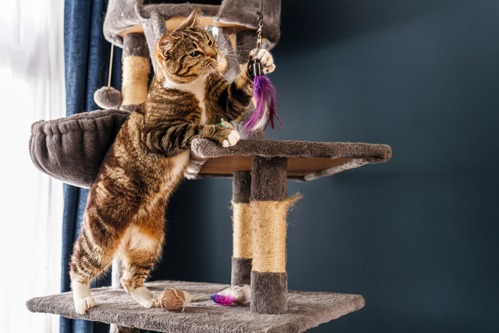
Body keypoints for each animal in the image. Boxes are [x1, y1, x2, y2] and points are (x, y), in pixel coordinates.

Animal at [68, 9, 276, 312]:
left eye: (209, 41)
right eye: (193, 52)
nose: (215, 54)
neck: (195, 86)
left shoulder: (222, 99)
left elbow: (235, 94)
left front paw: (260, 60)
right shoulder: (158, 133)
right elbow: (194, 128)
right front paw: (224, 133)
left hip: (149, 243)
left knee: (130, 278)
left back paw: (149, 300)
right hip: (101, 235)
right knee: (80, 265)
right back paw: (83, 299)